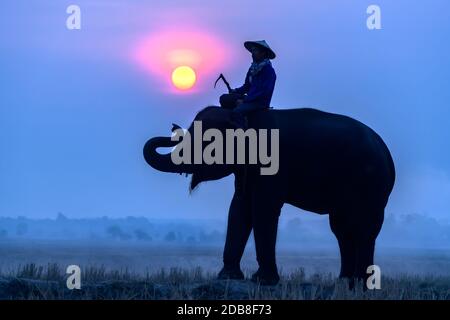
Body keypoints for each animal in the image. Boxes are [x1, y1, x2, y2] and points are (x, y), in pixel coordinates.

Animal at [142, 106, 396, 286]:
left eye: (206, 140)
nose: (173, 128)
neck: (243, 117)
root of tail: (385, 149)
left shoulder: (272, 165)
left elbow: (263, 207)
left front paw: (263, 280)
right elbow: (239, 207)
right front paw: (228, 277)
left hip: (371, 185)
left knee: (364, 228)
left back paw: (362, 284)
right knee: (342, 229)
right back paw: (345, 281)